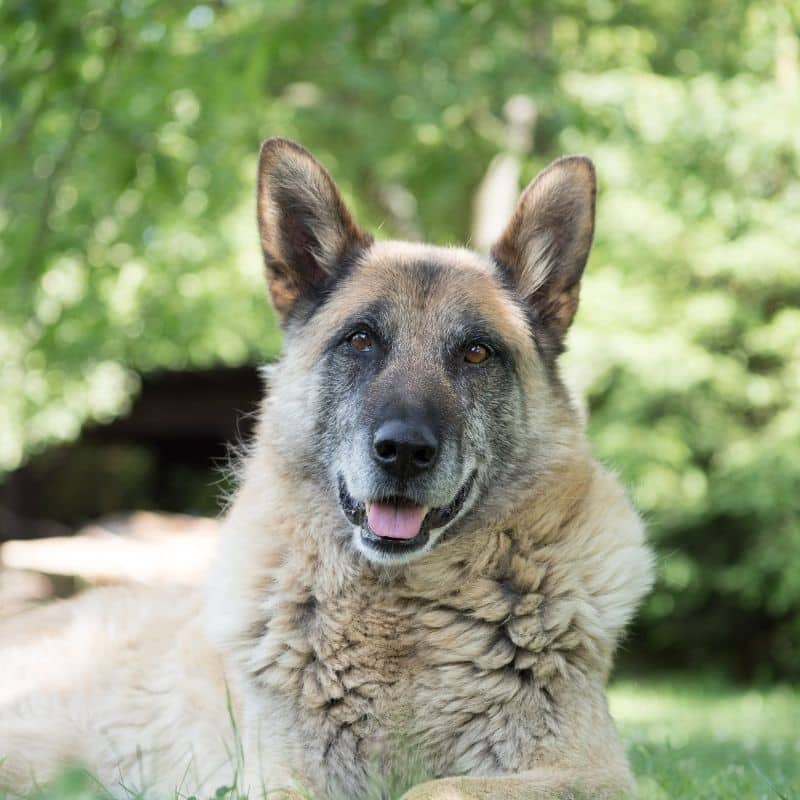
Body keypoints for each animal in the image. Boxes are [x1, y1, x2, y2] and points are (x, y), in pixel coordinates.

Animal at [0, 141, 656, 796]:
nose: (404, 452)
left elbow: (436, 785)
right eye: (361, 340)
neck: (401, 609)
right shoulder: (269, 776)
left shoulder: (593, 772)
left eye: (476, 353)